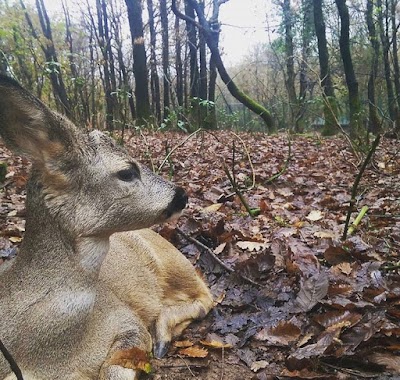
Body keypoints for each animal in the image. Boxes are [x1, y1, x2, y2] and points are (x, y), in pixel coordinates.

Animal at [0, 75, 212, 380]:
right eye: (127, 172)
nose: (182, 194)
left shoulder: (125, 321)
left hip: (173, 260)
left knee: (206, 294)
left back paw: (162, 337)